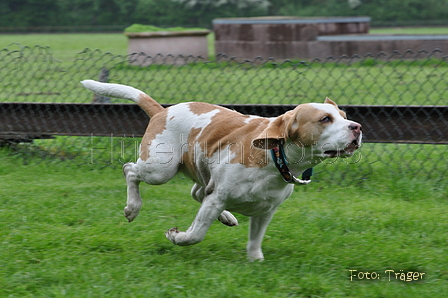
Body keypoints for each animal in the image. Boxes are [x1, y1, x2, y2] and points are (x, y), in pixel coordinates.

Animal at [81, 79, 360, 260]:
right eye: (325, 119)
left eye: (344, 116)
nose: (357, 127)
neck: (274, 157)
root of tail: (163, 110)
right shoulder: (217, 198)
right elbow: (195, 234)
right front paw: (176, 237)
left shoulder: (264, 210)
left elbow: (254, 242)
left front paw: (255, 261)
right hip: (160, 169)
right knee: (130, 170)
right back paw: (132, 207)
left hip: (198, 173)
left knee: (196, 192)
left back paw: (226, 217)